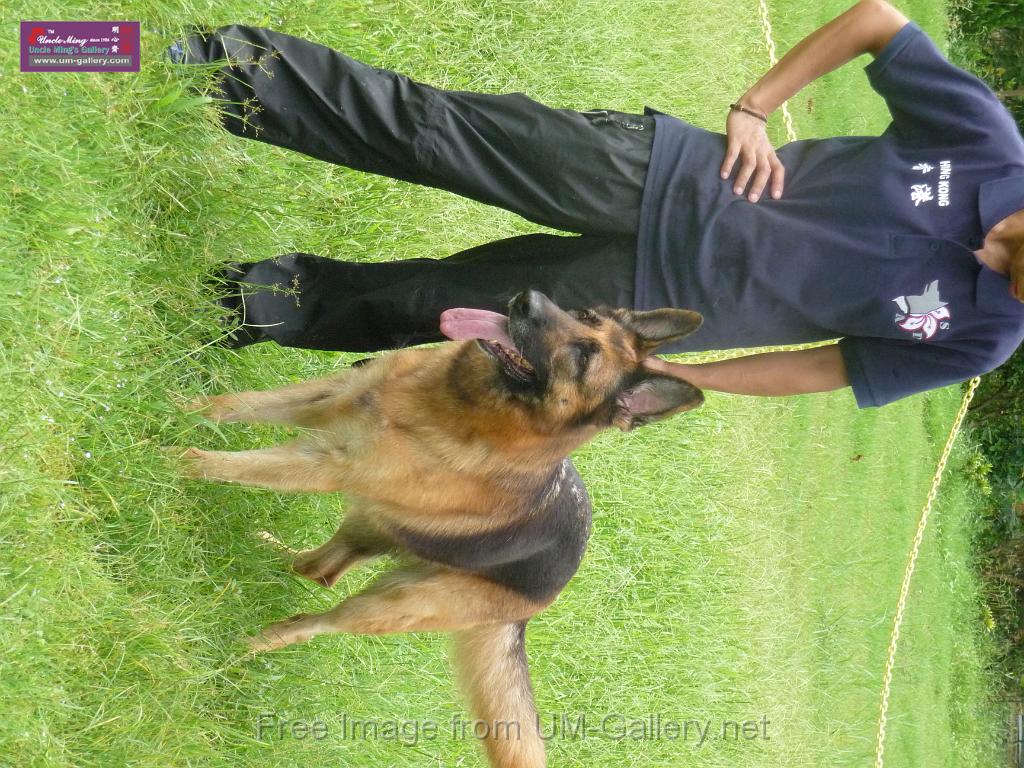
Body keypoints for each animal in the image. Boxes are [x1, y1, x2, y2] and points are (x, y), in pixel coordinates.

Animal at [176, 289, 703, 768]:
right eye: (582, 314)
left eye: (582, 356)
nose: (528, 297)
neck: (462, 405)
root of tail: (545, 597)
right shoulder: (329, 396)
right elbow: (225, 406)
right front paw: (169, 397)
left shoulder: (325, 464)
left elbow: (223, 465)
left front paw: (164, 456)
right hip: (370, 525)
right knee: (318, 570)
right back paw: (266, 555)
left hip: (388, 602)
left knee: (318, 617)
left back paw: (245, 644)